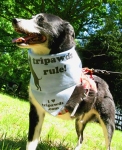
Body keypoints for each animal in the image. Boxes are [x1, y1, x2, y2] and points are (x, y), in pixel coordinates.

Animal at [11, 13, 115, 150]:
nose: (14, 20)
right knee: (81, 138)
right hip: (79, 121)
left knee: (108, 143)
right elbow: (31, 141)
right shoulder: (36, 112)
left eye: (41, 20)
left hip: (107, 122)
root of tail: (105, 84)